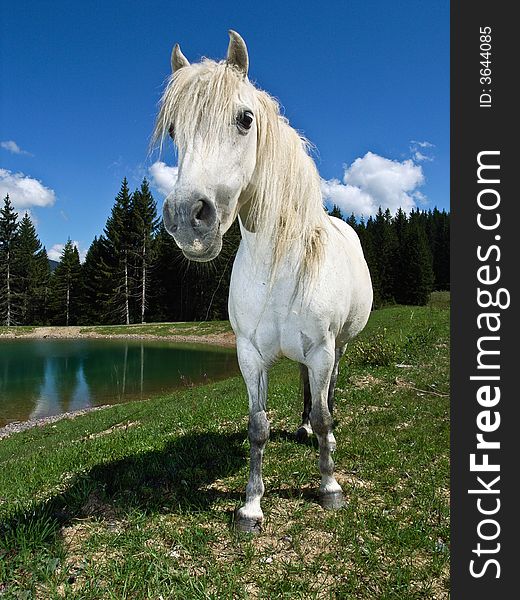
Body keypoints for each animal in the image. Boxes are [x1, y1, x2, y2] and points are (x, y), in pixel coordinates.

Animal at [154, 30, 374, 532]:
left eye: (245, 119)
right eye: (174, 131)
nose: (187, 218)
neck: (279, 271)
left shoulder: (323, 348)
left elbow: (326, 414)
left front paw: (329, 486)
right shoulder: (250, 355)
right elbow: (258, 427)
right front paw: (250, 507)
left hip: (339, 346)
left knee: (329, 391)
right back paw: (303, 427)